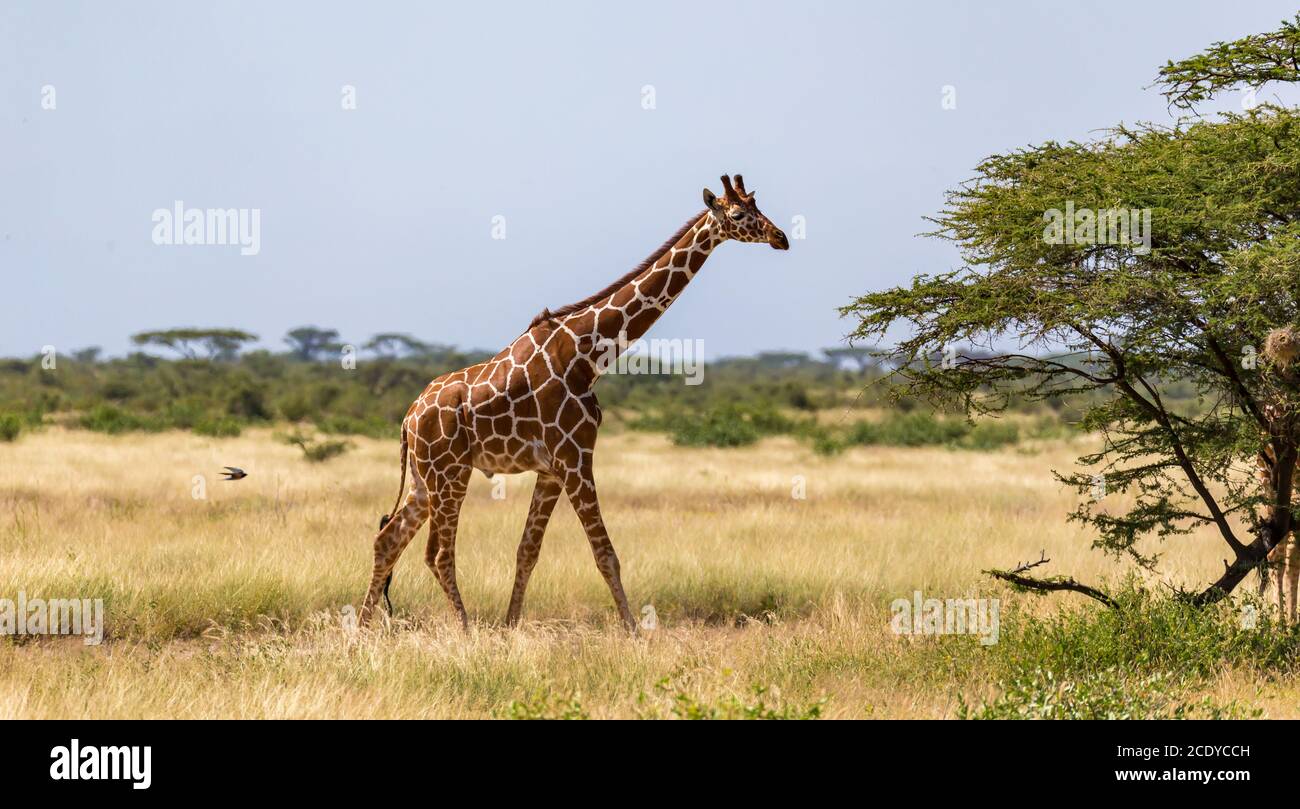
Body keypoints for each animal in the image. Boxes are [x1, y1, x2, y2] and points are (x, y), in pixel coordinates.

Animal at [358, 174, 790, 632]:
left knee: (387, 539)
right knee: (437, 554)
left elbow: (527, 552)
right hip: (450, 473)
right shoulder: (576, 456)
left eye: (758, 205)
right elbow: (605, 554)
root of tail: (407, 419)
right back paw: (466, 629)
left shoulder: (551, 469)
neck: (589, 353)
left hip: (425, 479)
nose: (781, 237)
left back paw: (363, 628)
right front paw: (633, 631)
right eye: (740, 214)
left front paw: (511, 626)